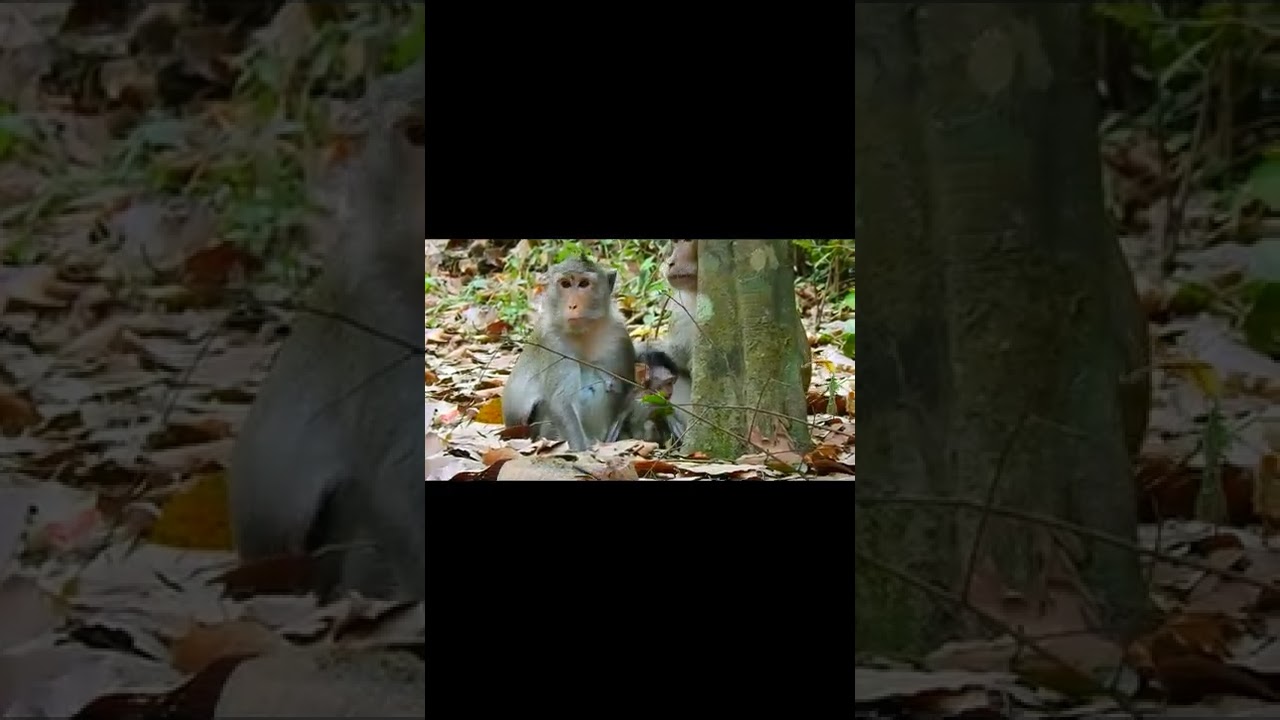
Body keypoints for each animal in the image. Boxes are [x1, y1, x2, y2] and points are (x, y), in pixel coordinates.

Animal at [501, 258, 637, 451]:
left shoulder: (618, 334)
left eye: (584, 284)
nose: (573, 305)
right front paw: (582, 450)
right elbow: (561, 403)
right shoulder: (552, 342)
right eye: (565, 284)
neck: (584, 333)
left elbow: (628, 388)